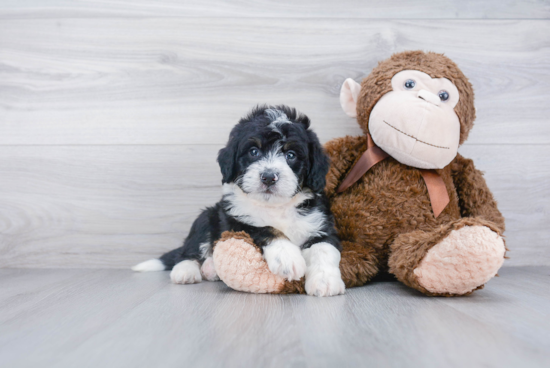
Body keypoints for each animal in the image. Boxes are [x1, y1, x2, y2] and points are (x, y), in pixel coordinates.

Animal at [133, 105, 344, 298]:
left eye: (290, 155)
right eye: (253, 152)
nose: (269, 177)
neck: (275, 207)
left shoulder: (320, 223)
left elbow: (324, 249)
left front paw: (325, 281)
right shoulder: (236, 220)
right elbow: (265, 228)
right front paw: (287, 257)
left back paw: (210, 269)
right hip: (206, 216)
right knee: (189, 250)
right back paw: (186, 271)